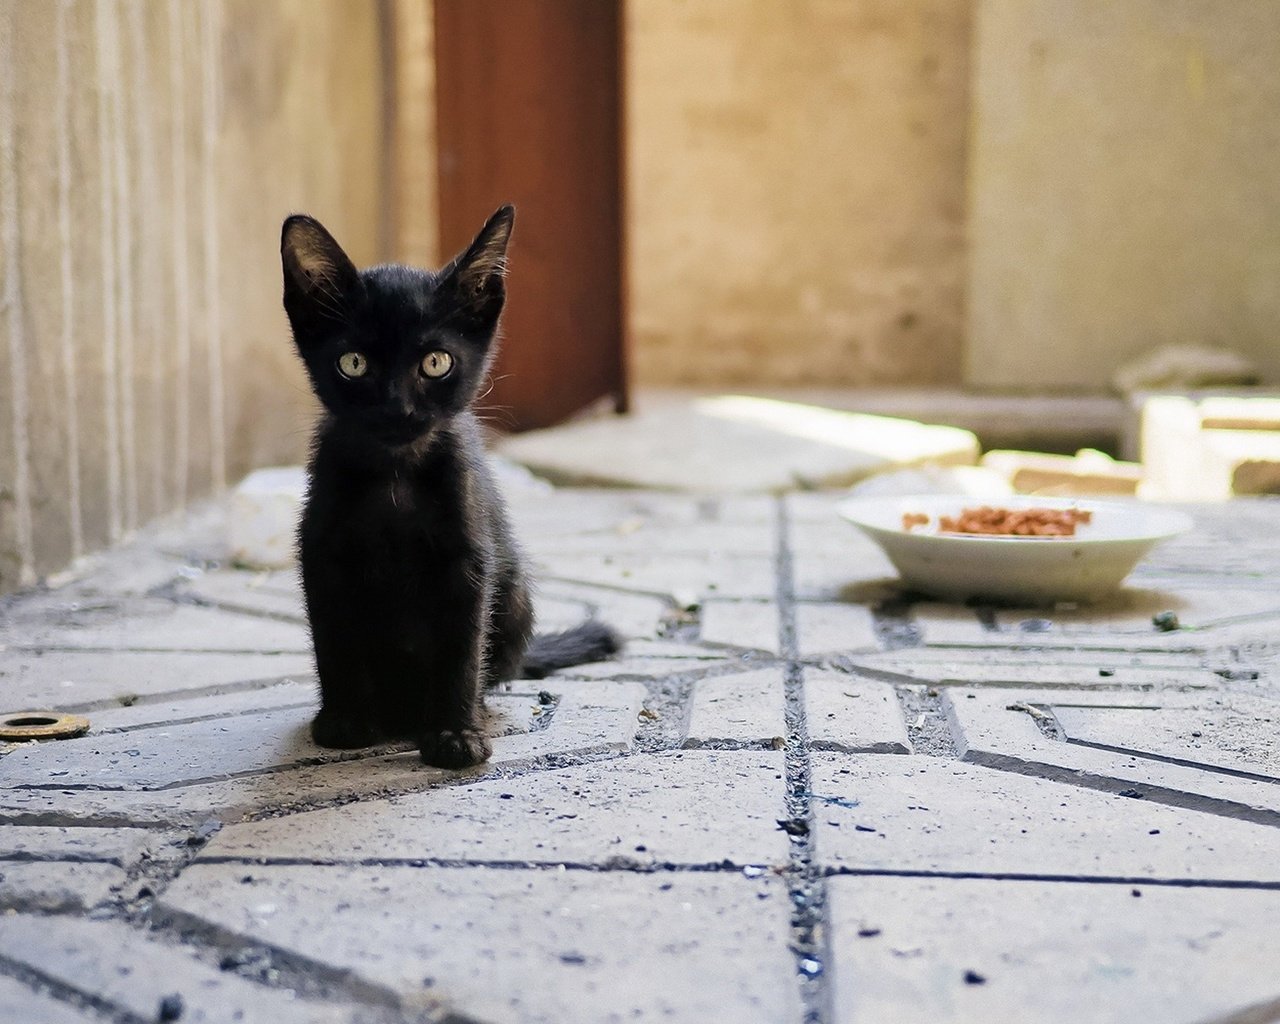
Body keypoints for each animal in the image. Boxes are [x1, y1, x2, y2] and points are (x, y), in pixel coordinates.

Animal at [281, 206, 619, 768]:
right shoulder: (322, 550)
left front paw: (456, 734)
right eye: (354, 363)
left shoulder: (468, 555)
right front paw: (345, 720)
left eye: (436, 362)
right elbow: (334, 640)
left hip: (516, 594)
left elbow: (461, 647)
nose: (397, 409)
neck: (395, 475)